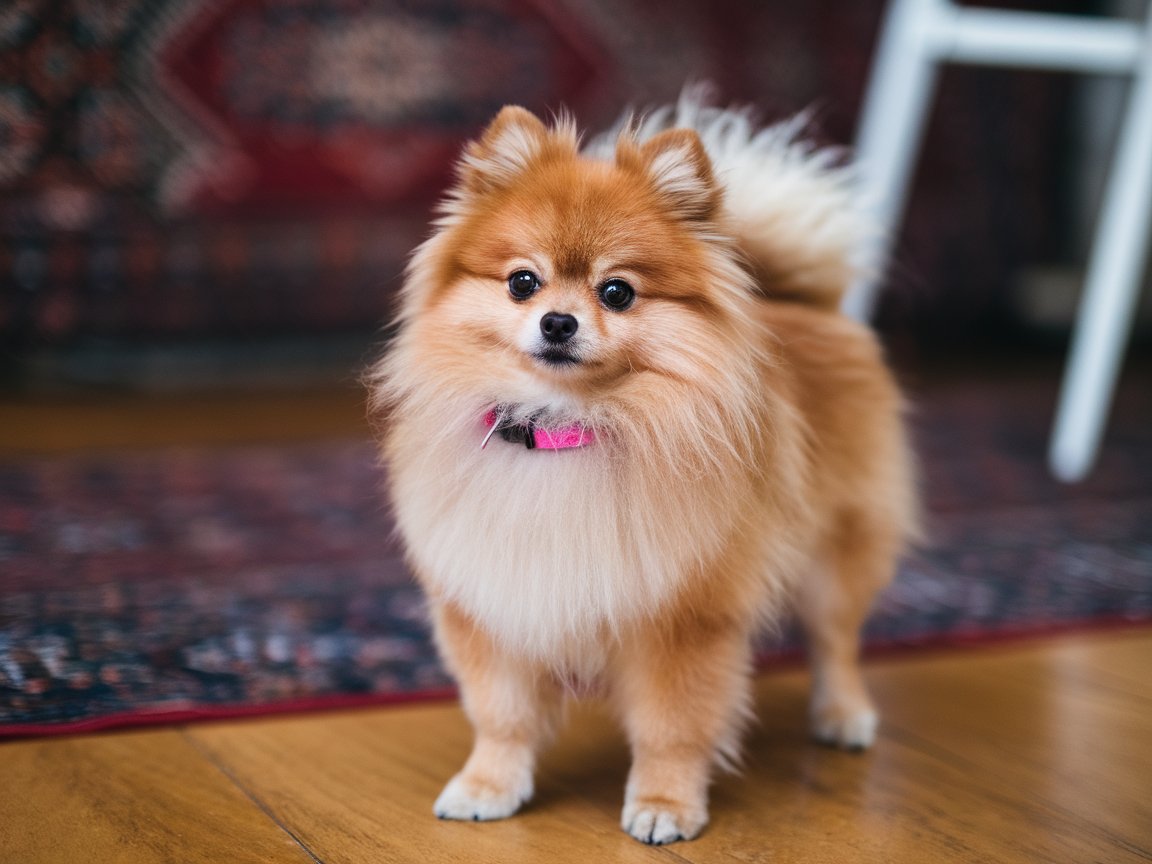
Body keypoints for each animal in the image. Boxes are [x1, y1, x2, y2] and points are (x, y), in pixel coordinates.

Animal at [368, 89, 916, 847]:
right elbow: (501, 716)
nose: (558, 322)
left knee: (835, 640)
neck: (567, 428)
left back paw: (843, 716)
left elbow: (670, 726)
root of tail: (798, 300)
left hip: (837, 549)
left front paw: (664, 803)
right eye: (522, 282)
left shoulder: (682, 620)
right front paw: (488, 786)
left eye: (618, 292)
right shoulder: (494, 600)